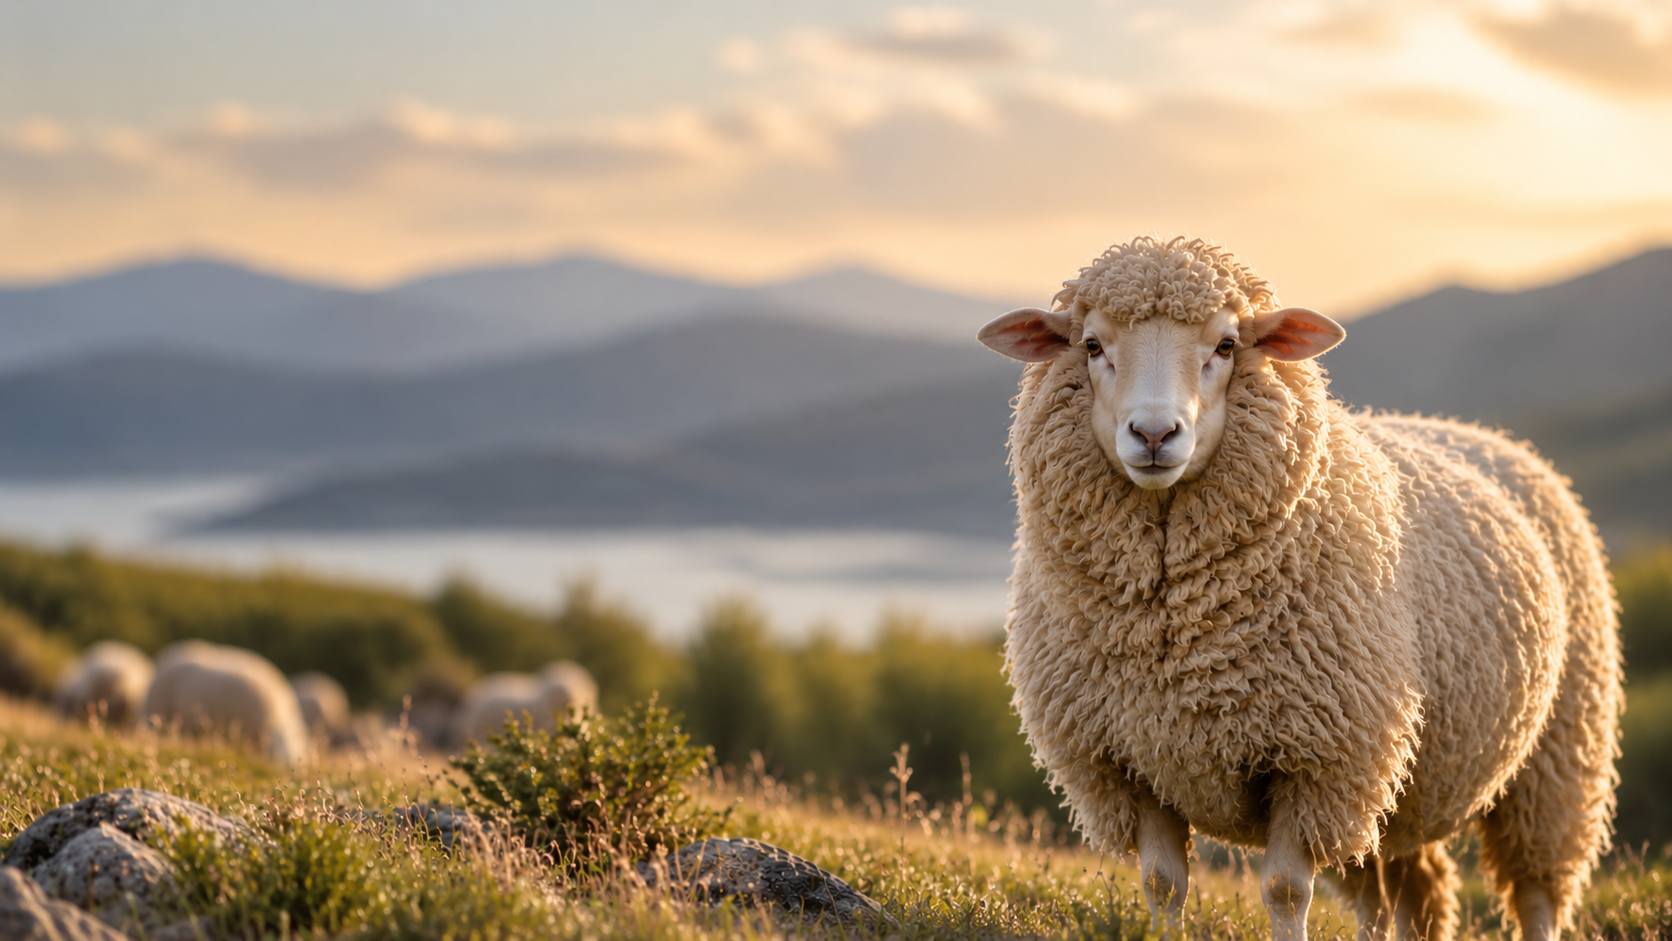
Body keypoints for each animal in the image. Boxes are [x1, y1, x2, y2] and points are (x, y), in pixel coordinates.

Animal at [977, 236, 1621, 941]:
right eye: (1092, 344)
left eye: (1227, 344)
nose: (1153, 435)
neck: (1171, 642)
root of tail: (1479, 433)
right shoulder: (1129, 764)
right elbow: (1162, 885)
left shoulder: (1316, 762)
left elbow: (1284, 891)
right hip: (1403, 780)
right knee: (1403, 895)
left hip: (1555, 760)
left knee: (1536, 893)